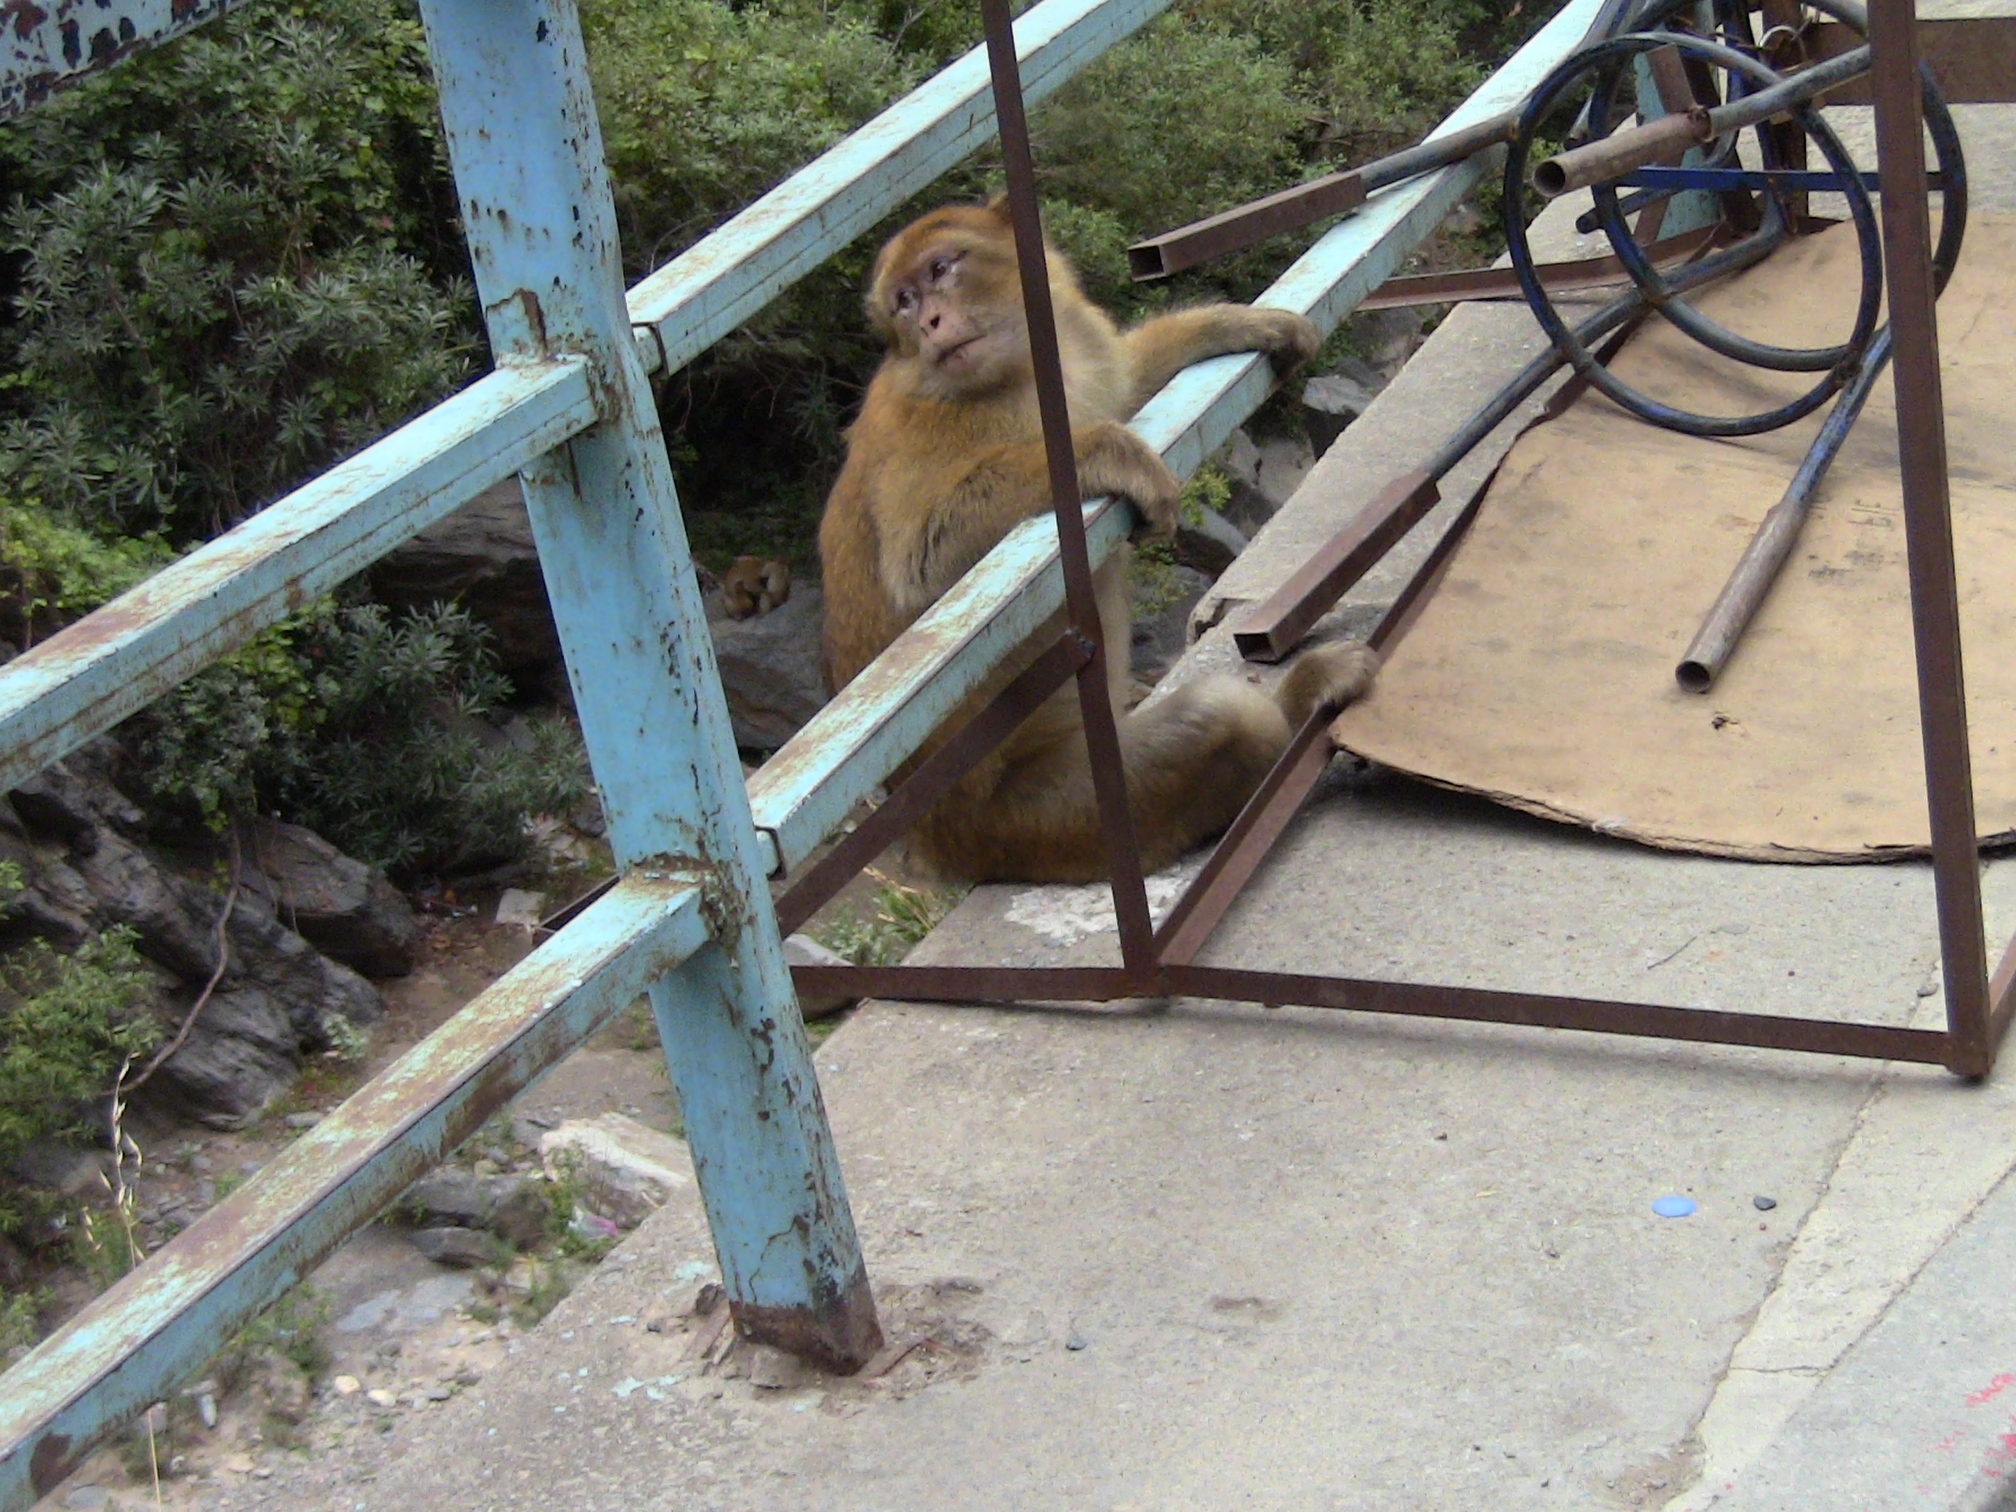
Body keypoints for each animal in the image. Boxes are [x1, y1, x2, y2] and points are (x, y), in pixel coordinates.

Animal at [818, 198, 1376, 885]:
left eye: (940, 269)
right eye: (901, 300)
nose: (927, 321)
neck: (1020, 373)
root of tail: (940, 844)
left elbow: (1129, 385)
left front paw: (1237, 322)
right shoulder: (920, 425)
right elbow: (920, 570)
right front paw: (1106, 452)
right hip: (1043, 820)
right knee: (1219, 720)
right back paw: (1292, 711)